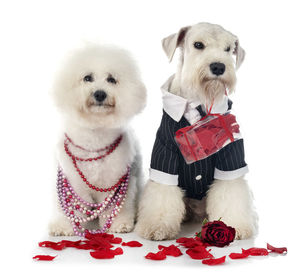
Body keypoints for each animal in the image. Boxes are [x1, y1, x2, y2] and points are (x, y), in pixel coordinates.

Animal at [48, 44, 146, 235]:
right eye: (87, 78)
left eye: (111, 79)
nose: (100, 94)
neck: (94, 141)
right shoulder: (75, 183)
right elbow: (71, 207)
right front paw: (63, 227)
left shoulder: (114, 181)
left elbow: (116, 207)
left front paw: (119, 224)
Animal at [136, 23, 258, 240]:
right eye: (198, 44)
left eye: (229, 48)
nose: (218, 67)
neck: (199, 101)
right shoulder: (165, 155)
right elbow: (162, 194)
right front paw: (157, 226)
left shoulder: (231, 157)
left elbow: (230, 191)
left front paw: (234, 225)